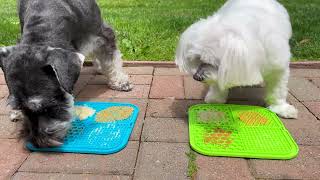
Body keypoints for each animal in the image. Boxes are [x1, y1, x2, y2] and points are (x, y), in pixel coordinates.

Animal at [0, 0, 132, 148]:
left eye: (46, 108)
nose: (38, 142)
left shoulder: (100, 34)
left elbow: (111, 59)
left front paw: (119, 81)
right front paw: (17, 112)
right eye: (22, 108)